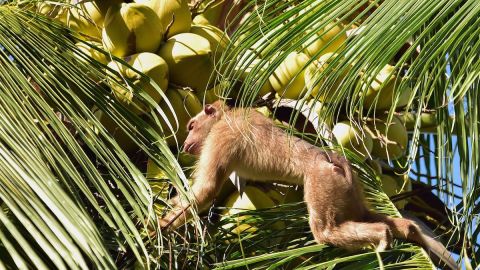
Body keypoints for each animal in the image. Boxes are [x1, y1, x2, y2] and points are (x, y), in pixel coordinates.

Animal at [160, 100, 458, 268]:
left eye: (191, 126)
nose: (185, 143)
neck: (227, 116)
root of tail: (335, 161)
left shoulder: (222, 135)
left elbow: (207, 189)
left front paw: (157, 229)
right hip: (350, 191)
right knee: (365, 214)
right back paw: (407, 230)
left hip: (322, 182)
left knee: (325, 231)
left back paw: (381, 235)